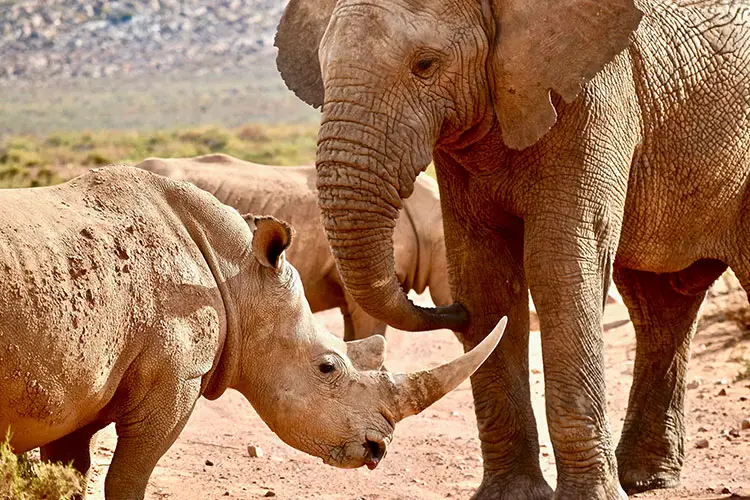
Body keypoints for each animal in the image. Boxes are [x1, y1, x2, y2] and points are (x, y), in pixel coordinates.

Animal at [274, 0, 750, 498]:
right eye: (323, 70)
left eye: (425, 65)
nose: (452, 313)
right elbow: (484, 273)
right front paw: (511, 493)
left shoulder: (596, 99)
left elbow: (558, 264)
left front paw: (589, 496)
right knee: (658, 306)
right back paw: (645, 479)